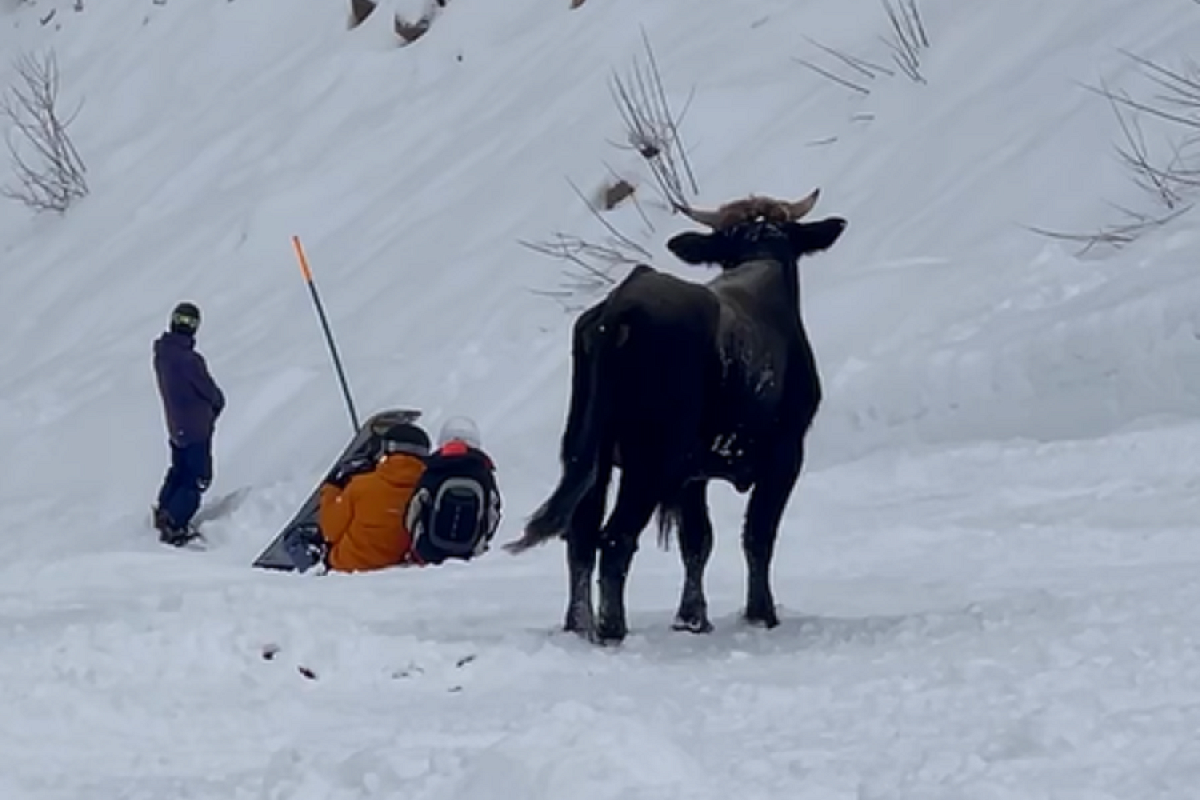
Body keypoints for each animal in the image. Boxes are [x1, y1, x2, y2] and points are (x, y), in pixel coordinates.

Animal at [506, 191, 854, 642]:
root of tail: (621, 304)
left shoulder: (693, 473)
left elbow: (697, 540)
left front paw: (692, 618)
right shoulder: (785, 454)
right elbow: (757, 534)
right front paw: (761, 614)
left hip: (588, 453)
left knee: (581, 537)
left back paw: (580, 625)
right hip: (649, 460)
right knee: (615, 538)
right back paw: (612, 628)